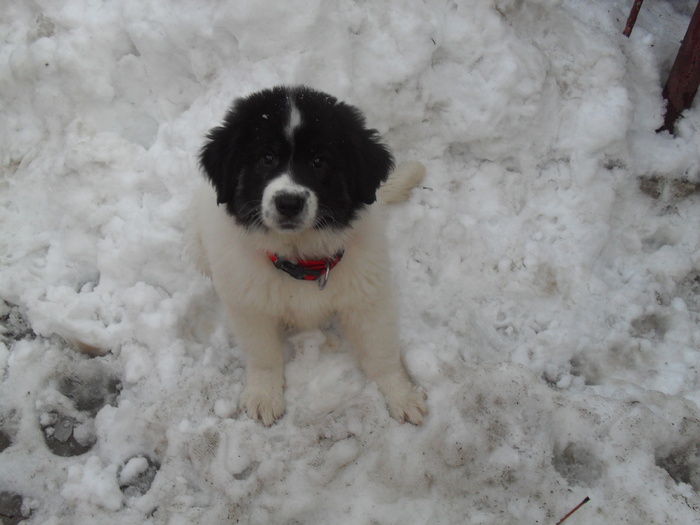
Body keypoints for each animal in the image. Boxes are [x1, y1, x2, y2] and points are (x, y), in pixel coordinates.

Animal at [187, 84, 426, 424]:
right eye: (266, 158)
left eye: (318, 161)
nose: (289, 202)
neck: (300, 259)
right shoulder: (248, 304)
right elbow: (263, 352)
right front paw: (264, 394)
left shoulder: (368, 296)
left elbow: (380, 349)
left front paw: (400, 394)